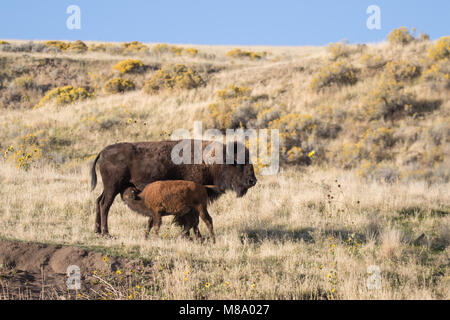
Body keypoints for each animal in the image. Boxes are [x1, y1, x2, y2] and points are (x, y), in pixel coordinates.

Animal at [90, 139, 256, 235]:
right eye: (238, 162)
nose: (252, 181)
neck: (211, 161)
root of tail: (103, 152)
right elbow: (191, 219)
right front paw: (195, 237)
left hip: (110, 187)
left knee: (98, 201)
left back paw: (97, 231)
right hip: (113, 187)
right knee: (105, 204)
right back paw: (106, 233)